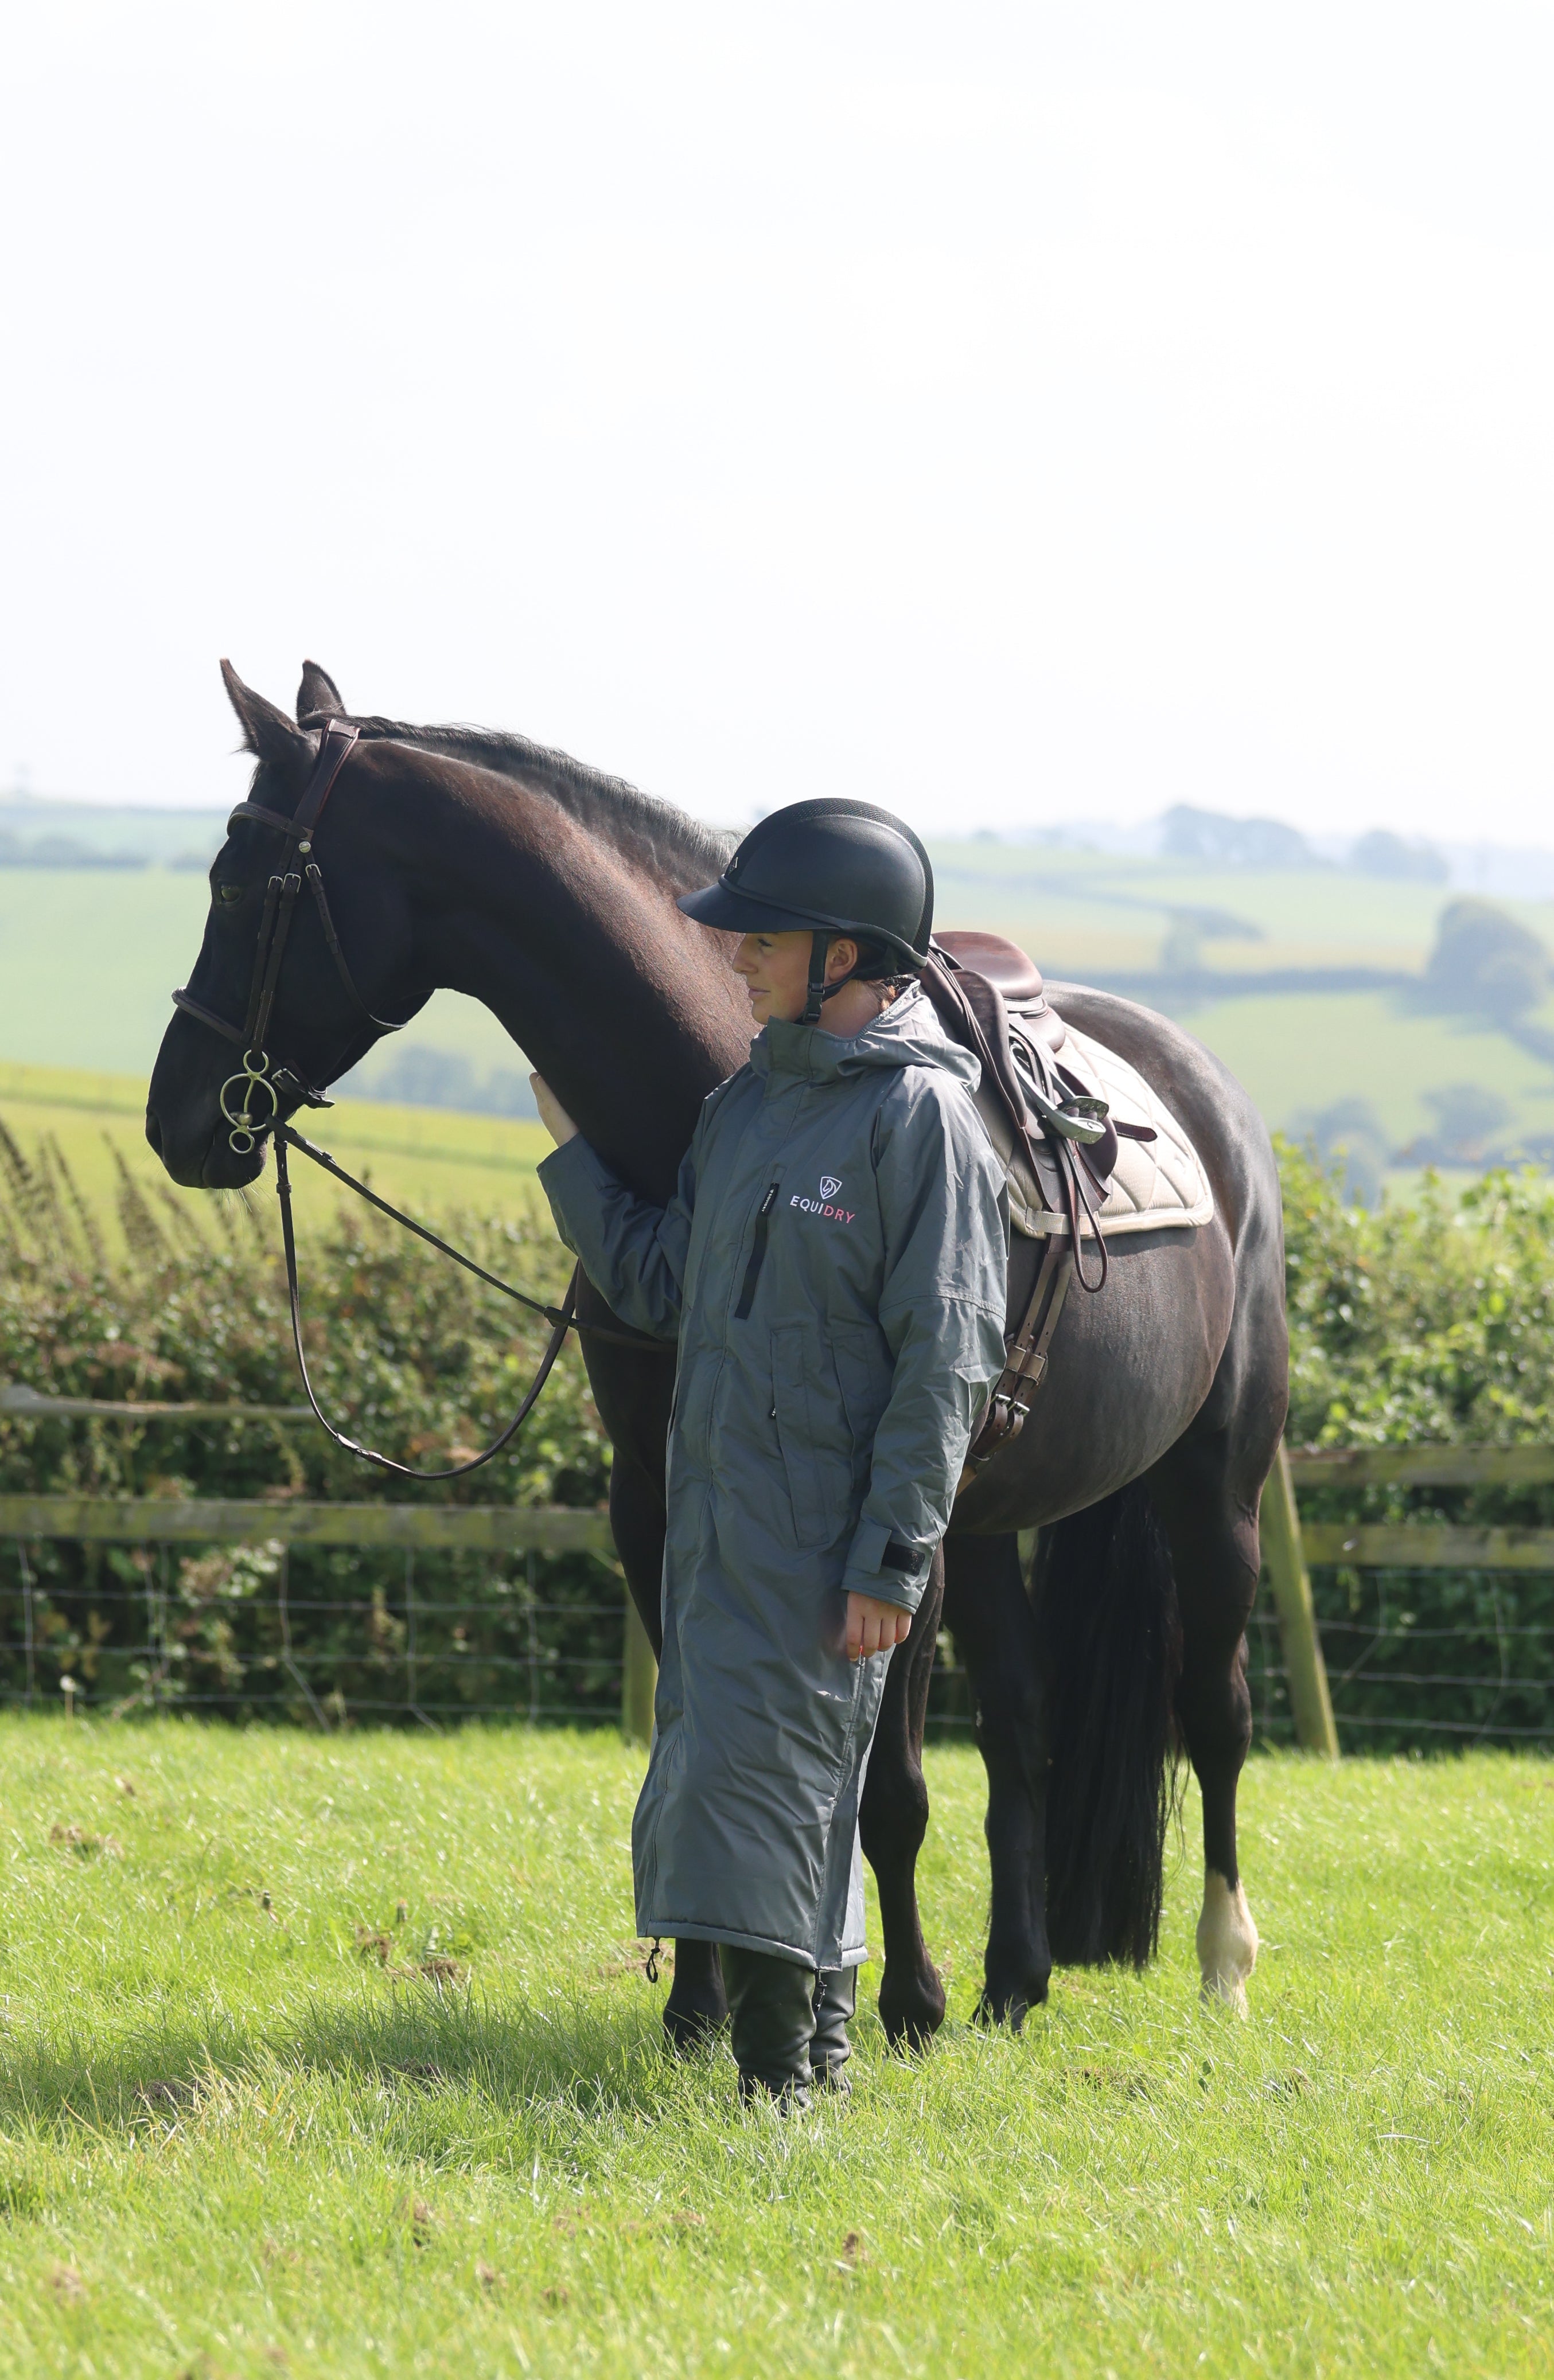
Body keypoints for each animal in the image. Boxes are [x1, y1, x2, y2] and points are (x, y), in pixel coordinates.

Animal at [146, 659, 1288, 2044]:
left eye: (240, 883)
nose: (175, 1118)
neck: (724, 1097)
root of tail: (1204, 1094)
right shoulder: (658, 1492)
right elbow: (685, 1742)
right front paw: (702, 2000)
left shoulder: (884, 1521)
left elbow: (887, 1785)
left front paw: (898, 2000)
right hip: (986, 1525)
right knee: (1024, 1719)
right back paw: (1015, 1978)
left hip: (1208, 1488)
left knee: (1214, 1712)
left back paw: (1221, 1964)